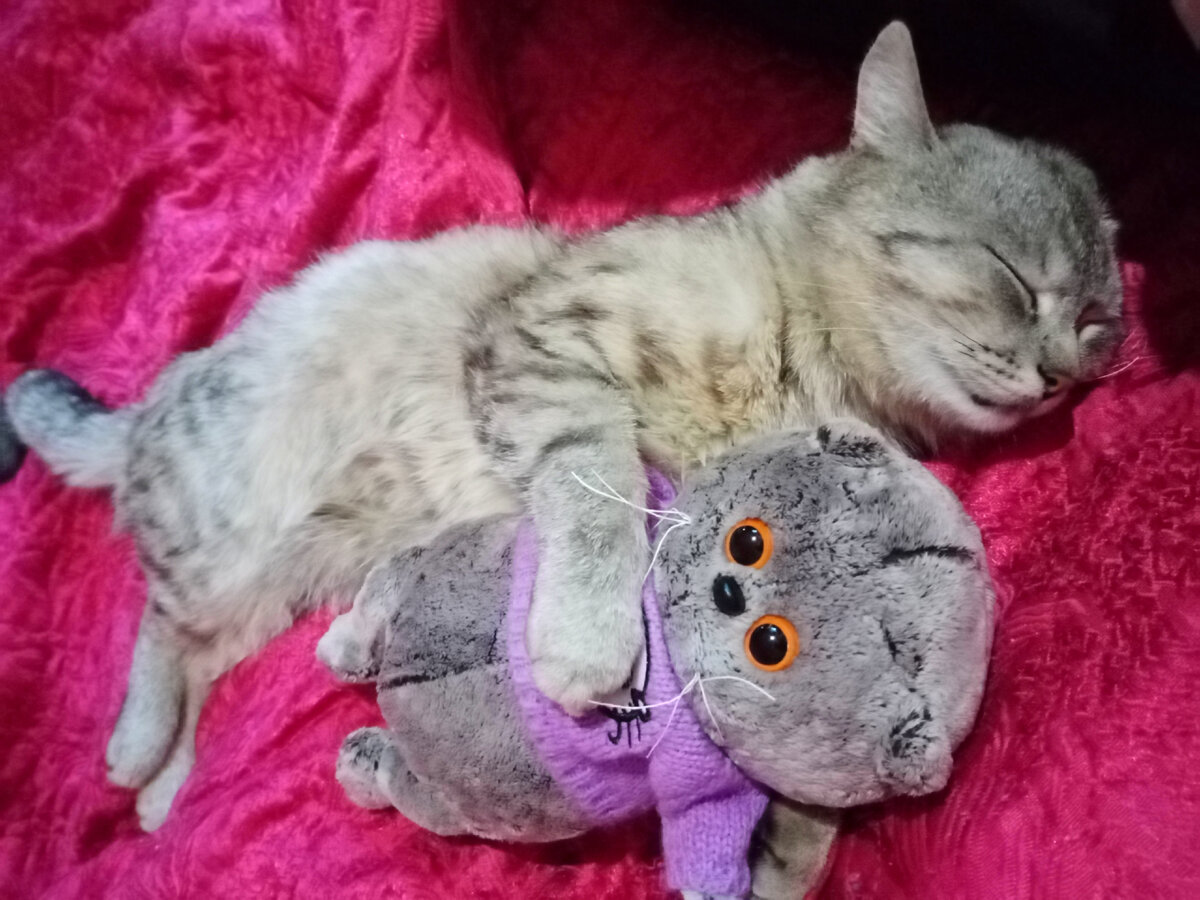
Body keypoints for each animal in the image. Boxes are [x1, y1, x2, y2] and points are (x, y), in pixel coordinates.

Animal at [2, 20, 1121, 858]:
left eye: (1101, 325)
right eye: (1013, 280)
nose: (1063, 377)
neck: (807, 361)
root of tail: (153, 405)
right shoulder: (539, 349)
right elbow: (595, 486)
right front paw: (587, 639)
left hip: (280, 586)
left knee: (196, 656)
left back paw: (163, 791)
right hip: (220, 545)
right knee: (158, 620)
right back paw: (137, 754)